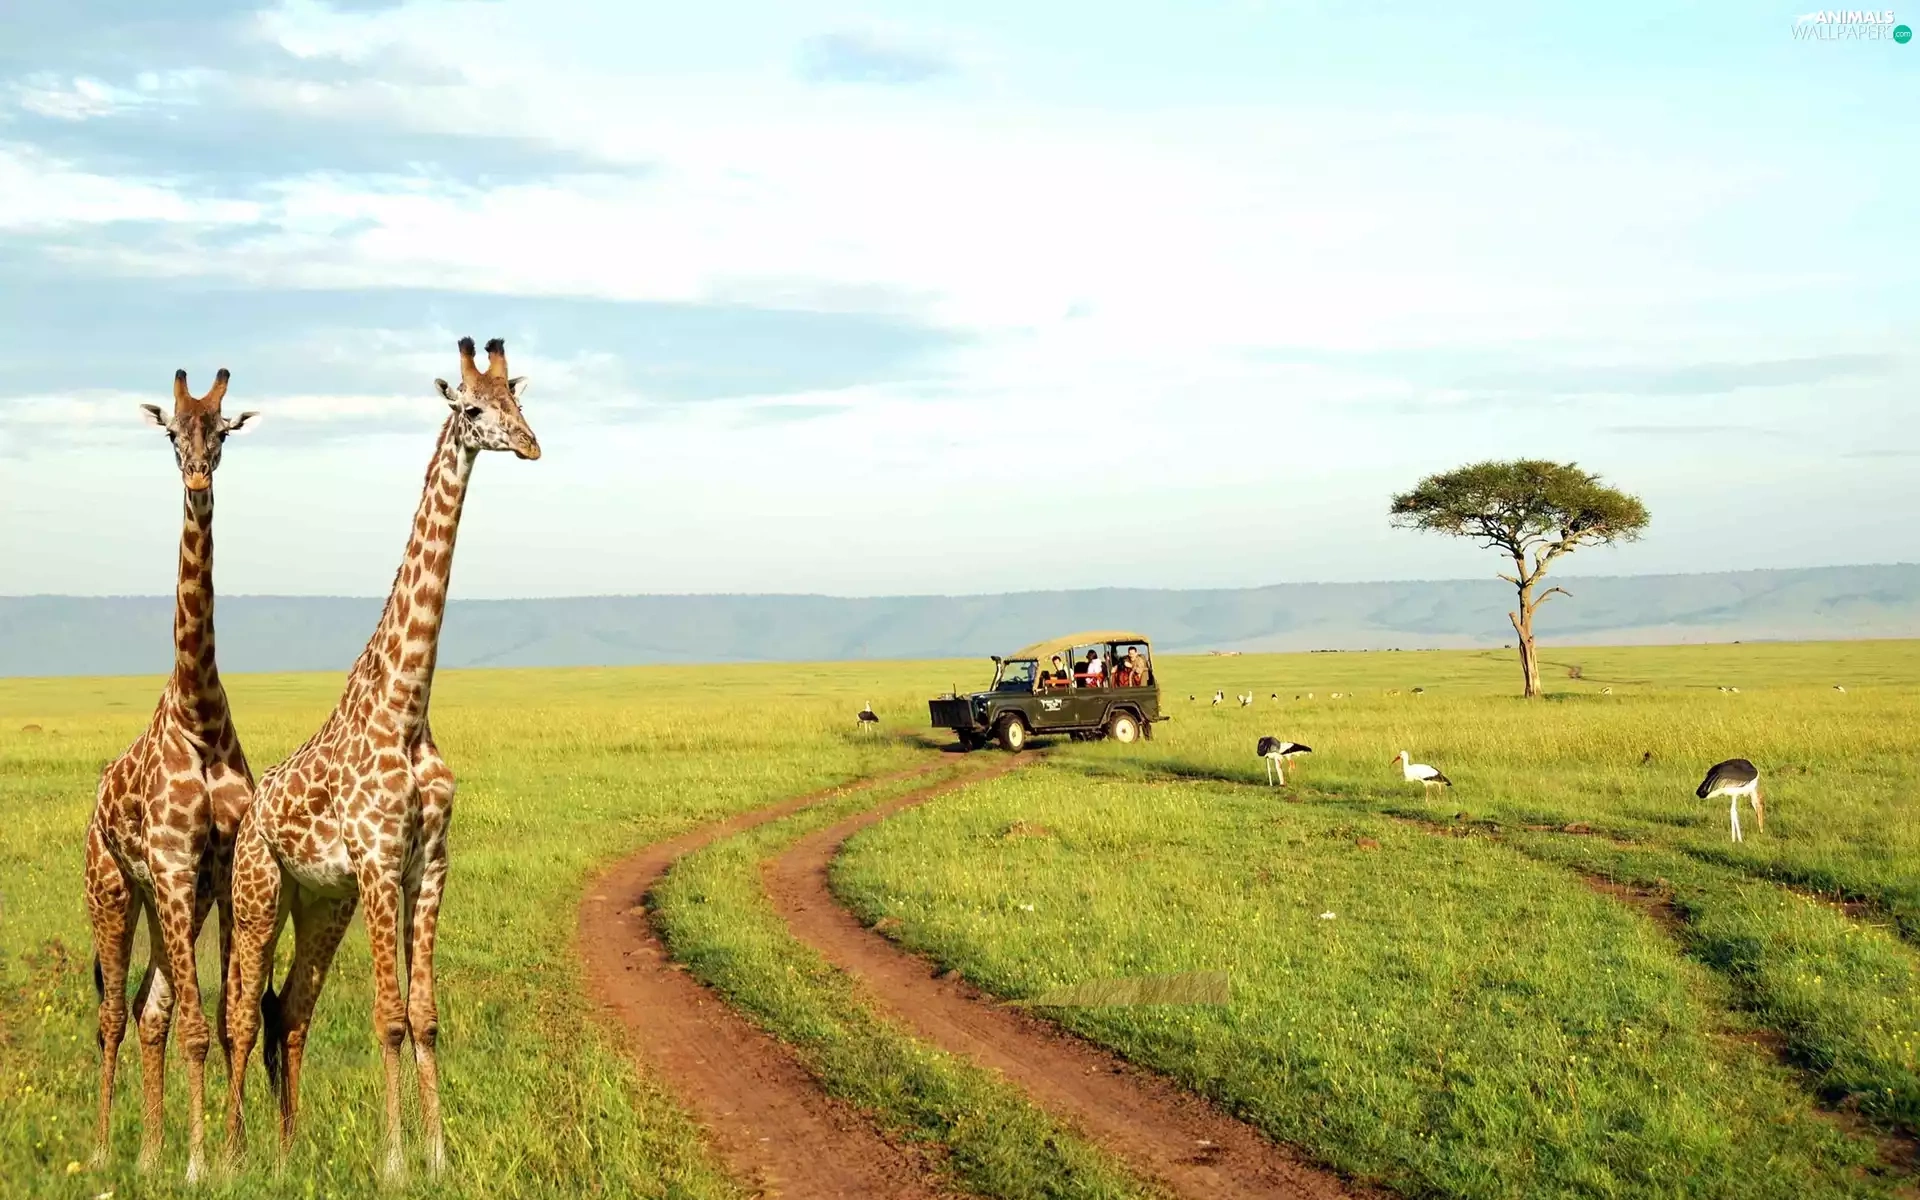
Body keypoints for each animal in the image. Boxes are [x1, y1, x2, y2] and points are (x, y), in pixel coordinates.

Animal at [223, 337, 540, 1182]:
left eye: (520, 401)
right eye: (474, 409)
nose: (531, 445)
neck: (407, 708)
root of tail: (249, 811)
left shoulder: (428, 864)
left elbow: (424, 1015)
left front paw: (439, 1157)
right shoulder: (376, 863)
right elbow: (388, 1017)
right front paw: (394, 1162)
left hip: (318, 903)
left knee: (287, 1009)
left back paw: (287, 1154)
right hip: (258, 894)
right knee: (240, 1012)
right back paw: (227, 1155)